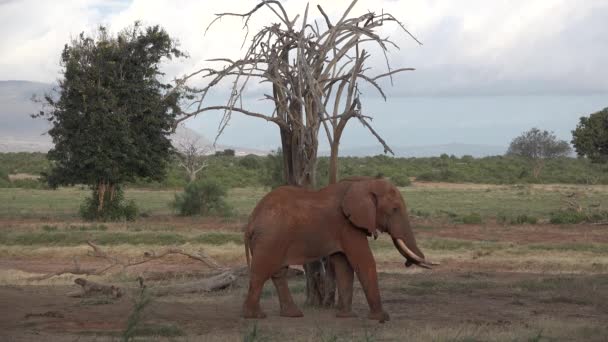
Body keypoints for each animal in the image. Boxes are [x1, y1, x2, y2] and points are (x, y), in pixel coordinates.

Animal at [240, 175, 434, 322]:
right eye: (394, 209)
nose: (408, 263)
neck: (364, 182)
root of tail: (251, 220)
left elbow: (344, 266)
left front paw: (346, 316)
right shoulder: (347, 226)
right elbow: (363, 261)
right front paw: (381, 318)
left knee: (278, 273)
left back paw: (292, 315)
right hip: (270, 238)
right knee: (261, 272)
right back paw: (254, 316)